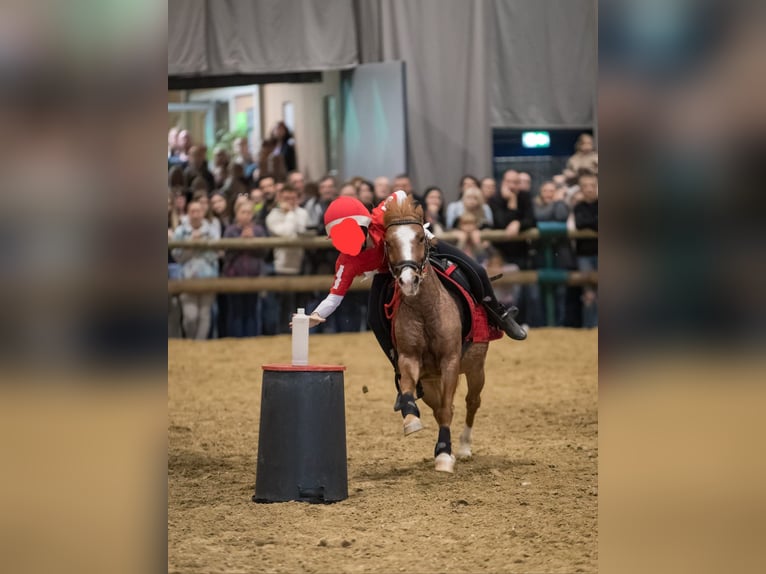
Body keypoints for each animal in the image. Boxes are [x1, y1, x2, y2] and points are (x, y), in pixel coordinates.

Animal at [384, 196, 492, 474]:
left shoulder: (450, 361)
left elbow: (448, 410)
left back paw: (463, 447)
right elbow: (409, 391)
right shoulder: (409, 359)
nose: (408, 280)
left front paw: (444, 455)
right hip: (432, 381)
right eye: (388, 242)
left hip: (475, 367)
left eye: (420, 238)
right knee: (442, 405)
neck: (425, 309)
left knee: (471, 401)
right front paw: (410, 420)